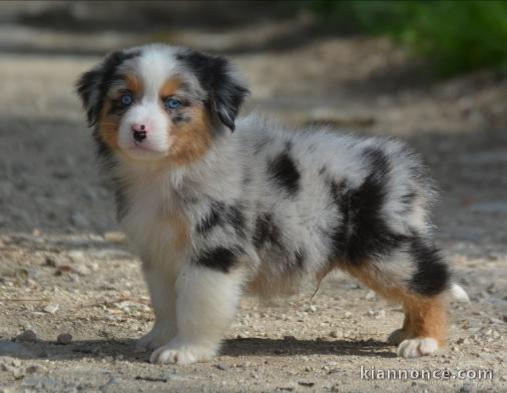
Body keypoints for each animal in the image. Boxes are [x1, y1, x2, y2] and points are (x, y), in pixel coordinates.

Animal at [75, 43, 468, 364]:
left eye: (173, 103)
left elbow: (196, 305)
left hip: (381, 248)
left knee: (431, 278)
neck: (171, 170)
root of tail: (401, 166)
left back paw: (424, 340)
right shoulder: (159, 252)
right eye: (124, 99)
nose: (138, 130)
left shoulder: (215, 250)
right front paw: (159, 338)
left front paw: (185, 350)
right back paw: (407, 331)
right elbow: (166, 302)